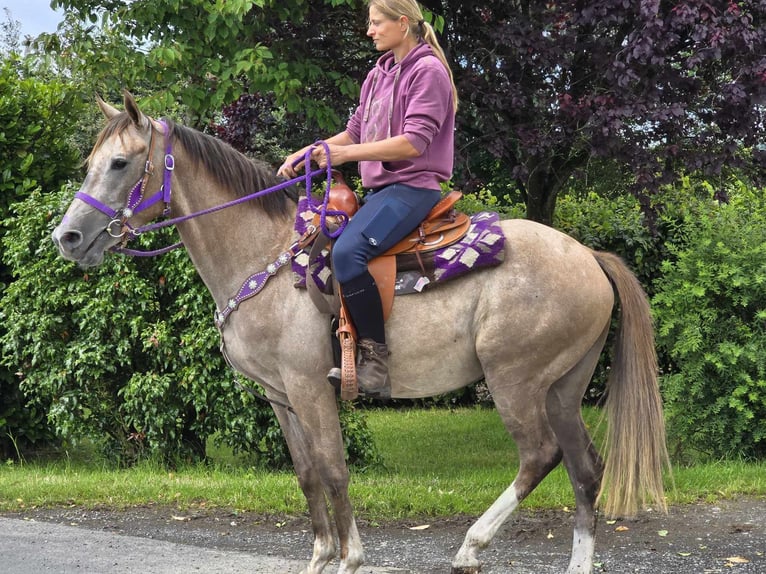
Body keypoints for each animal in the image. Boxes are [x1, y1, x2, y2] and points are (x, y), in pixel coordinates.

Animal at [51, 92, 668, 572]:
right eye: (92, 160)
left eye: (121, 163)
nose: (69, 238)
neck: (266, 256)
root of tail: (589, 256)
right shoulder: (280, 397)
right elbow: (306, 475)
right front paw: (320, 556)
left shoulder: (309, 388)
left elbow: (333, 468)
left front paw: (349, 557)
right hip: (563, 386)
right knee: (585, 469)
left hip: (514, 380)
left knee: (539, 455)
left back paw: (471, 546)